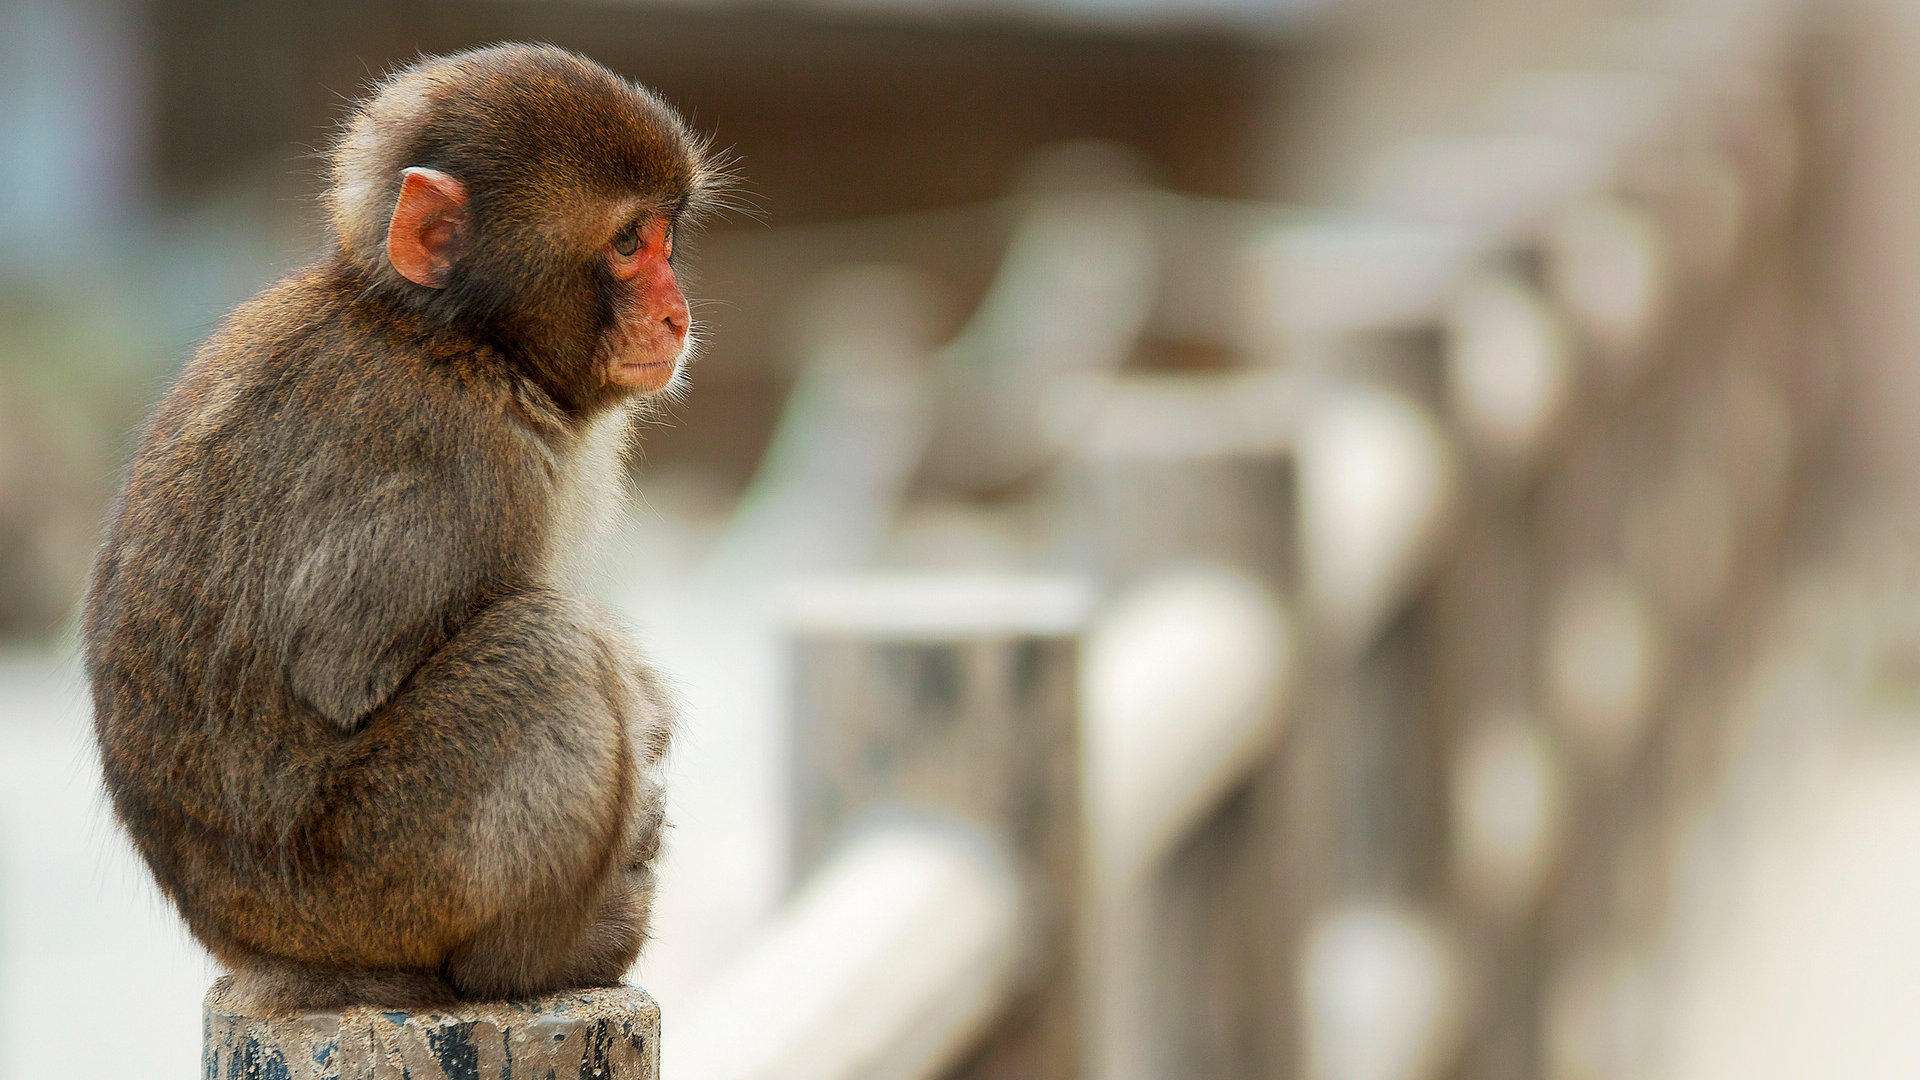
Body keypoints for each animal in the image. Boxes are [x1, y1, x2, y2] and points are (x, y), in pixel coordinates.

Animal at [84, 44, 725, 1006]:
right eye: (625, 244)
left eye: (665, 240)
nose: (676, 313)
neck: (456, 339)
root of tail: (250, 948)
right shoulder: (457, 458)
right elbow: (348, 673)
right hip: (372, 885)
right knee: (546, 649)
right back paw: (536, 960)